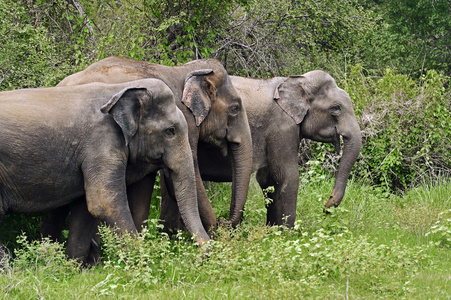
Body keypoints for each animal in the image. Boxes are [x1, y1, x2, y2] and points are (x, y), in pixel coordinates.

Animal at [0, 78, 210, 262]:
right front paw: (144, 264)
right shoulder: (101, 142)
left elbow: (85, 209)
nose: (197, 258)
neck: (119, 88)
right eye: (170, 131)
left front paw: (73, 269)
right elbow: (104, 202)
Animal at [45, 56, 254, 234]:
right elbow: (188, 175)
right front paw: (215, 234)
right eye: (235, 108)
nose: (224, 220)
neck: (186, 70)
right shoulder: (183, 121)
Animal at [162, 70, 364, 229]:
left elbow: (267, 178)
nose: (326, 206)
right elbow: (286, 175)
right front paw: (287, 236)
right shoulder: (282, 126)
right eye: (336, 108)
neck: (297, 81)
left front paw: (273, 232)